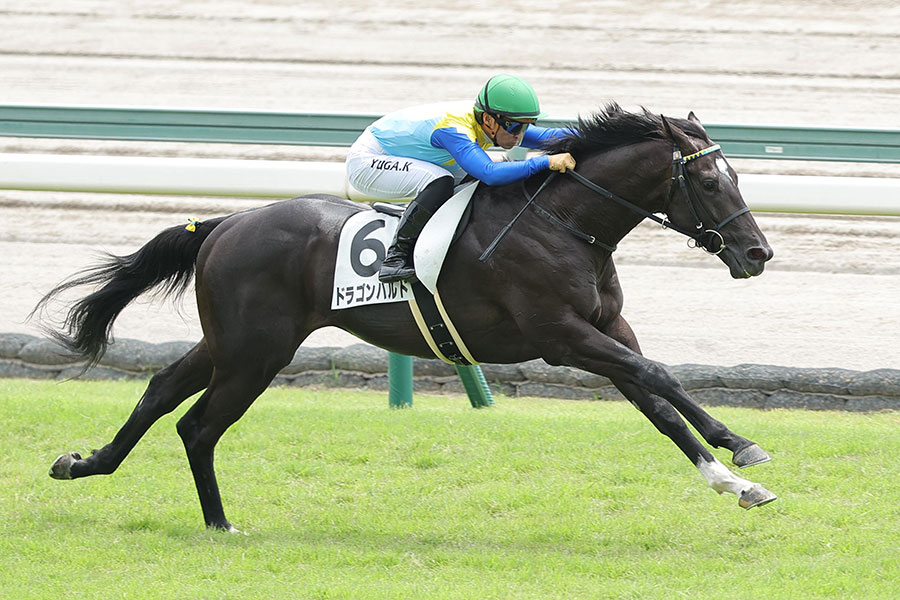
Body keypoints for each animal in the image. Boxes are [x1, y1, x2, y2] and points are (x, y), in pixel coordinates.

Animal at [39, 104, 777, 532]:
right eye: (708, 181)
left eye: (736, 176)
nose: (758, 253)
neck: (562, 222)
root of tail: (227, 222)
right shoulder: (561, 337)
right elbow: (660, 377)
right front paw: (742, 445)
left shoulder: (604, 332)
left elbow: (657, 403)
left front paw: (734, 482)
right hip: (256, 352)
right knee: (198, 424)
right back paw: (220, 524)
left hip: (229, 342)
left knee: (160, 392)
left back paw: (84, 465)